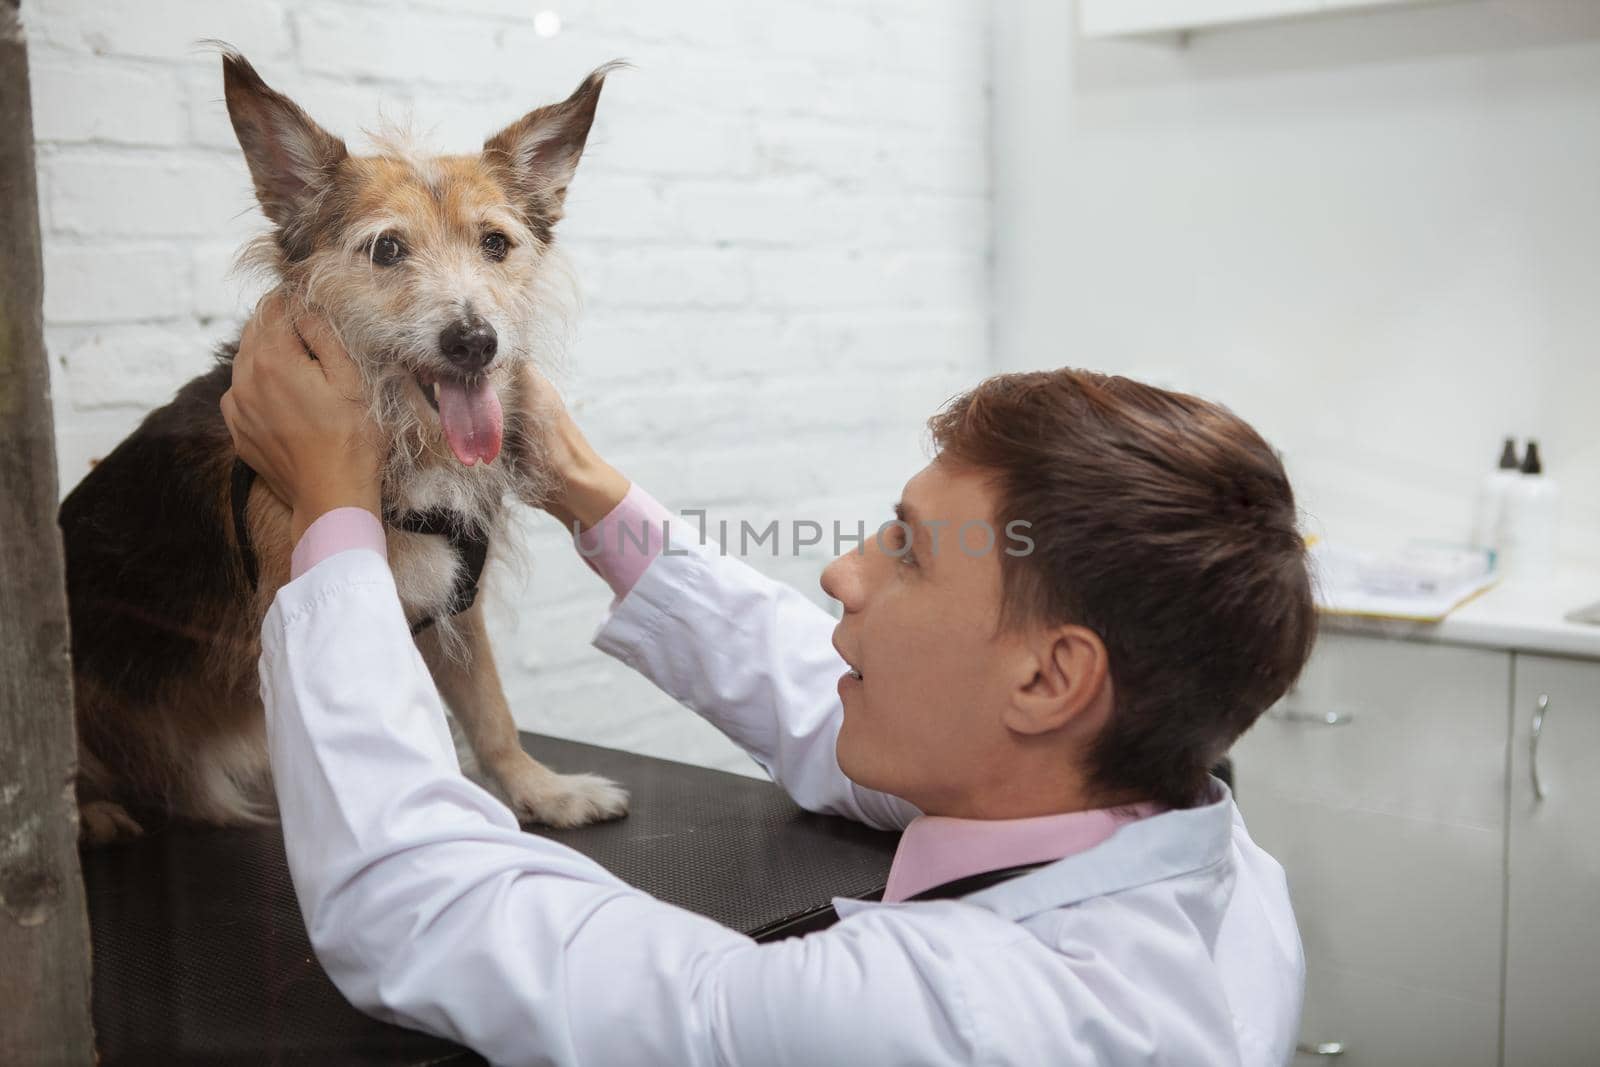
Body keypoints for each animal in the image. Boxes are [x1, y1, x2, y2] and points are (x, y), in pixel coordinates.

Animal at [62, 51, 627, 844]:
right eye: (387, 248)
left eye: (495, 243)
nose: (475, 340)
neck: (408, 445)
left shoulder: (452, 599)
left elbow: (492, 709)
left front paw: (541, 789)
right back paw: (92, 811)